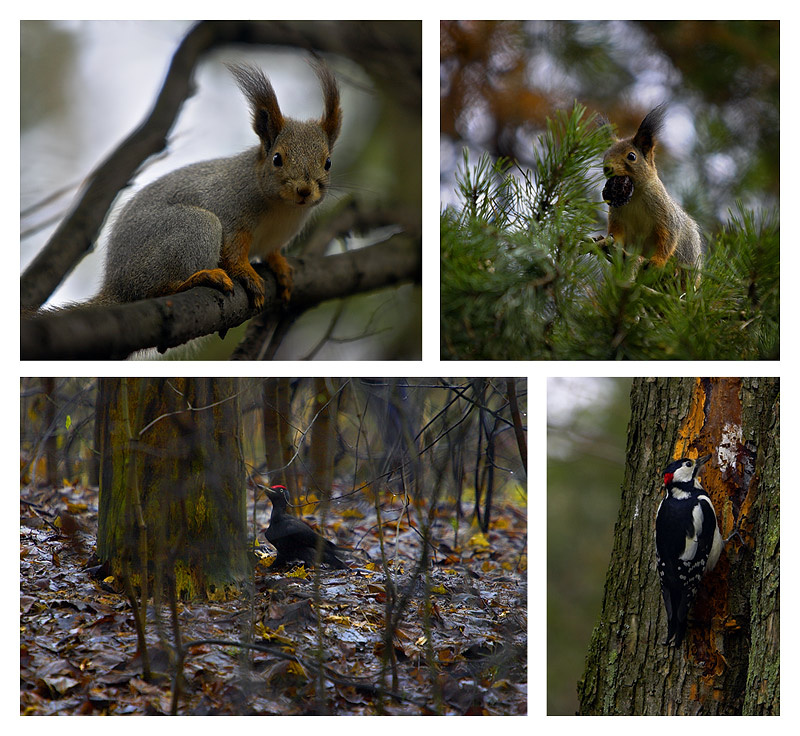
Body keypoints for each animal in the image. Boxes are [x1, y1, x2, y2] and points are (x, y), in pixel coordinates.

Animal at [99, 60, 342, 309]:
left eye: (328, 163)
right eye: (277, 159)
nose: (304, 190)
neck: (282, 207)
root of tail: (116, 287)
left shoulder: (277, 236)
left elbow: (271, 253)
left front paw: (281, 267)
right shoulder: (230, 210)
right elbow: (233, 251)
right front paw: (247, 273)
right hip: (191, 229)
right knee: (154, 289)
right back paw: (199, 278)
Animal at [599, 105, 703, 280]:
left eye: (631, 156)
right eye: (605, 155)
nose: (607, 168)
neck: (635, 195)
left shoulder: (664, 212)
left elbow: (668, 237)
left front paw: (658, 262)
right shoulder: (617, 215)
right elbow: (616, 231)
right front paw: (612, 243)